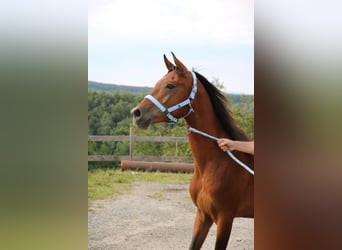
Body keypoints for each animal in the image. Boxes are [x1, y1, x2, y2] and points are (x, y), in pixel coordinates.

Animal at [131, 52, 254, 248]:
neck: (215, 164)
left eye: (170, 85)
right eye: (157, 83)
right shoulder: (202, 216)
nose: (136, 113)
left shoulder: (225, 219)